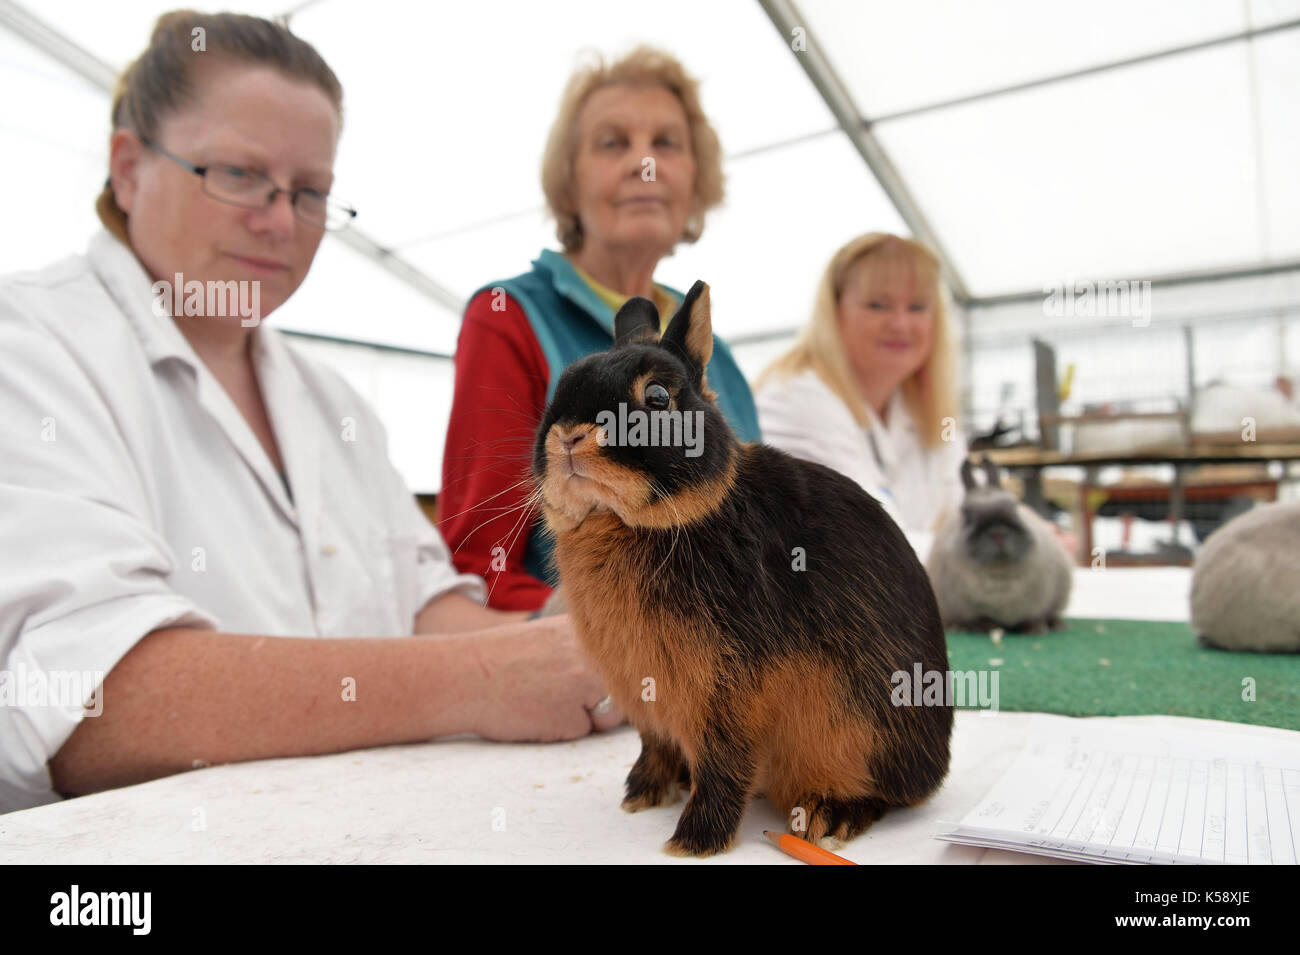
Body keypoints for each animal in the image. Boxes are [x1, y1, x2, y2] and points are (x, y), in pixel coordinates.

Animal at [531, 280, 952, 857]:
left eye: (657, 397)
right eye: (562, 386)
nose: (569, 436)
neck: (628, 523)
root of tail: (933, 766)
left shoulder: (729, 693)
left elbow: (724, 763)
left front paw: (694, 841)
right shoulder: (645, 700)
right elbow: (654, 745)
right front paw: (641, 797)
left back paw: (826, 816)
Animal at [926, 456, 1073, 634]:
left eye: (1015, 508)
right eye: (968, 517)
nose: (999, 533)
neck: (999, 571)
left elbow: (1033, 616)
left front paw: (1035, 628)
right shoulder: (967, 607)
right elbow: (980, 618)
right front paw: (985, 626)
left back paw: (1057, 624)